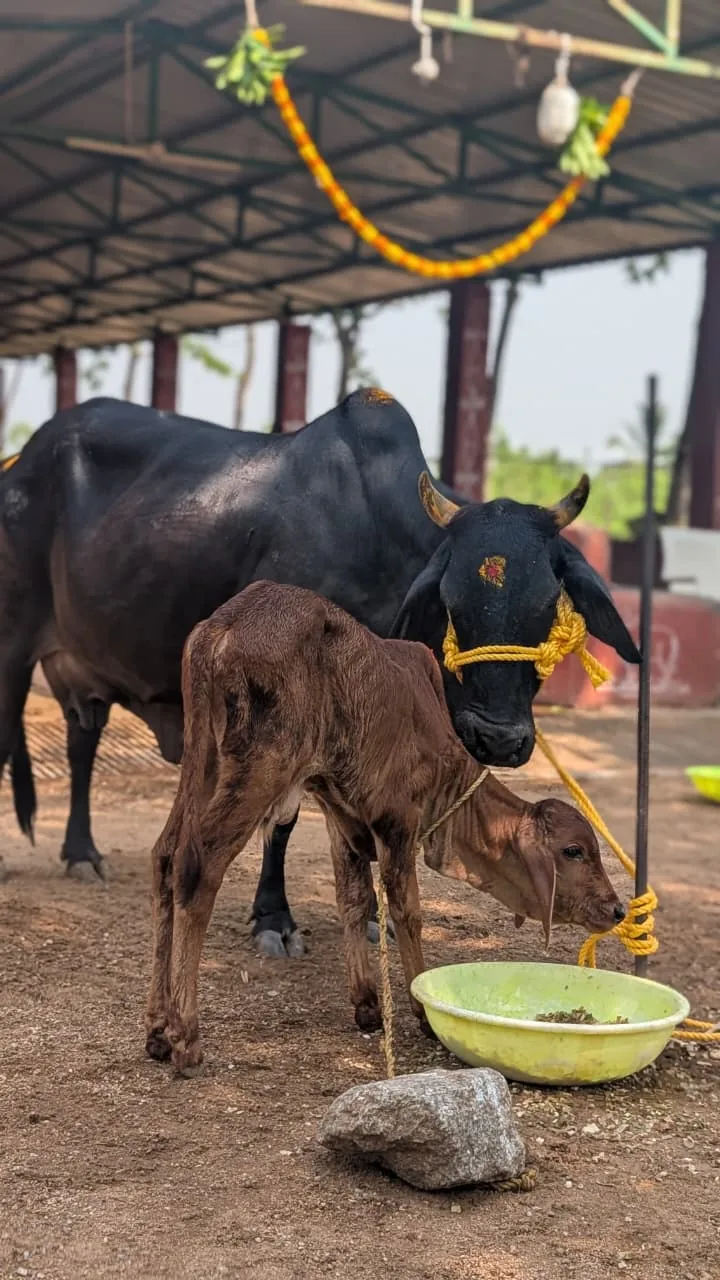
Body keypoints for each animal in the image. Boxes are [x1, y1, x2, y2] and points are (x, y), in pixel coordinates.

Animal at [0, 389, 638, 957]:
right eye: (452, 598)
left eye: (548, 603)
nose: (498, 739)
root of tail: (23, 460)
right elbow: (281, 819)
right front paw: (274, 920)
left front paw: (374, 917)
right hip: (15, 646)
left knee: (83, 742)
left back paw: (81, 852)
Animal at [145, 582, 625, 1076]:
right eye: (574, 851)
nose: (617, 909)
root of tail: (223, 625)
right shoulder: (397, 823)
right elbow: (407, 911)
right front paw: (422, 1011)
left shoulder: (340, 815)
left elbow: (353, 900)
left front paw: (367, 1003)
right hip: (260, 767)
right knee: (198, 866)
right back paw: (185, 1035)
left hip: (202, 760)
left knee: (165, 857)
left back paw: (158, 1029)